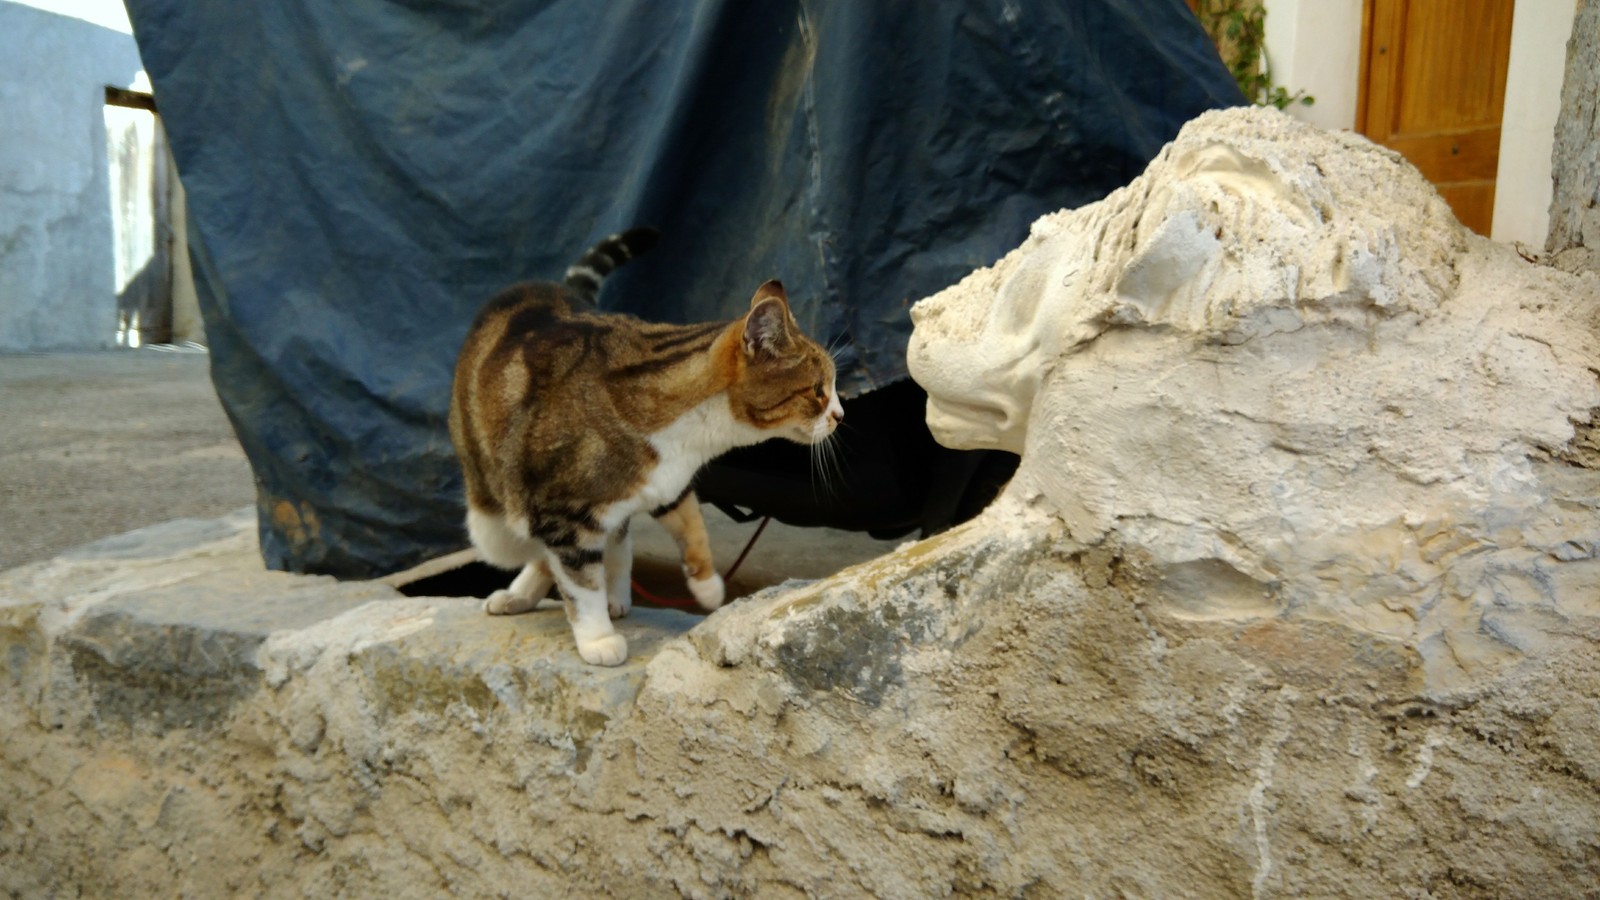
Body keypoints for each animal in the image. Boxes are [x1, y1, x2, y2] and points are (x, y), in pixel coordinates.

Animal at [448, 229, 844, 666]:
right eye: (818, 390)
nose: (841, 415)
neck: (693, 437)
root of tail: (548, 287)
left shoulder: (669, 484)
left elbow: (693, 526)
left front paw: (706, 585)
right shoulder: (562, 515)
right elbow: (579, 582)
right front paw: (597, 638)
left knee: (612, 537)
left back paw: (612, 591)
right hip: (495, 524)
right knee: (538, 550)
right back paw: (524, 596)